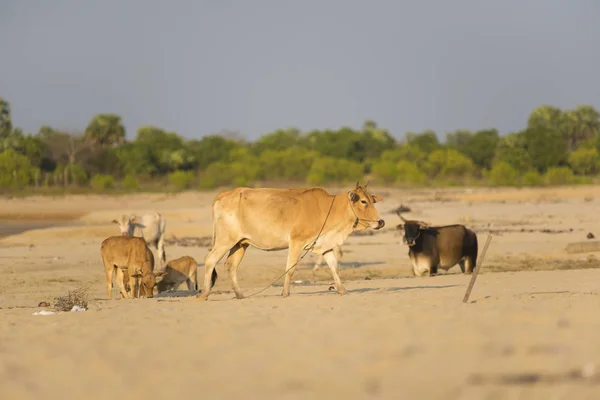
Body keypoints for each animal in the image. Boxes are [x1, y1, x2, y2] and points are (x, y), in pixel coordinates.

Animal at [197, 181, 384, 300]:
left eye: (372, 200)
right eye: (363, 201)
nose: (381, 222)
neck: (328, 209)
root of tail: (225, 194)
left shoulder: (325, 245)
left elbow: (334, 267)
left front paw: (342, 290)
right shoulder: (296, 242)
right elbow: (290, 268)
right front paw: (285, 292)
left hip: (240, 243)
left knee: (231, 266)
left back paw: (240, 295)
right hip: (224, 241)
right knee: (210, 260)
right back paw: (205, 293)